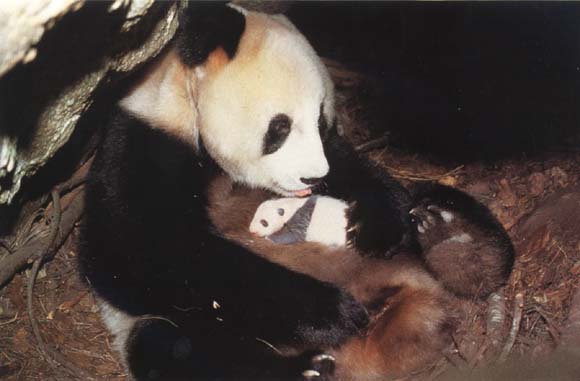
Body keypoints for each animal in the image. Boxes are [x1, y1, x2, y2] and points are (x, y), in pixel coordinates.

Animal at [79, 2, 412, 378]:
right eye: (280, 127)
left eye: (321, 122)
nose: (312, 179)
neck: (183, 96)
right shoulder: (142, 139)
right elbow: (139, 250)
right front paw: (334, 312)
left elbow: (346, 164)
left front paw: (379, 226)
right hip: (163, 324)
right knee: (178, 348)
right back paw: (304, 368)